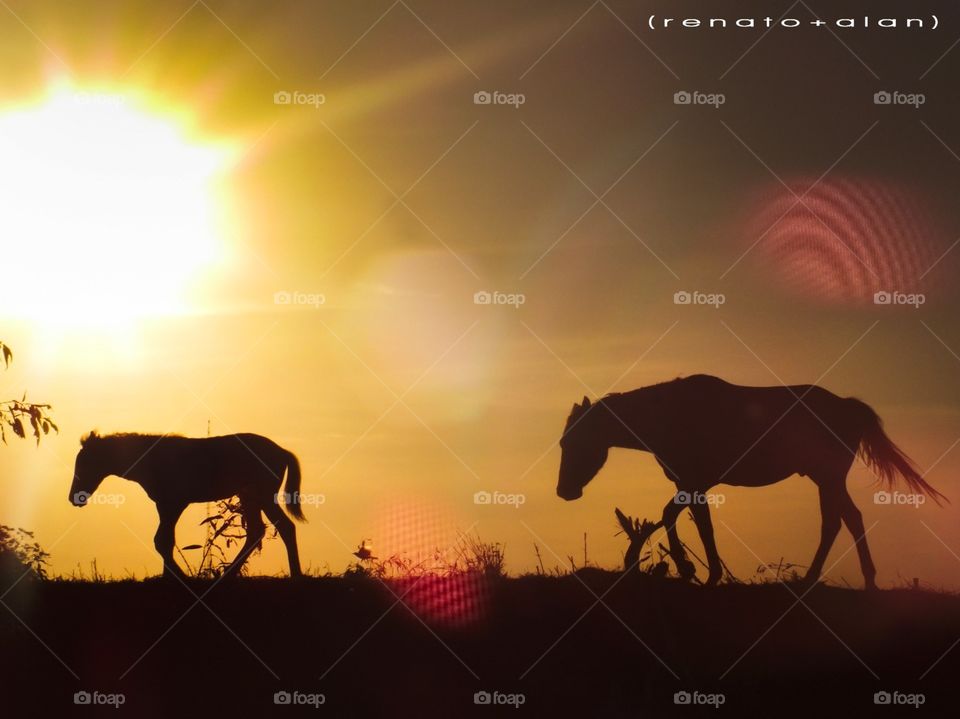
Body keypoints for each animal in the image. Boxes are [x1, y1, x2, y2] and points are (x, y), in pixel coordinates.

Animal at [70, 434, 306, 580]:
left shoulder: (174, 503)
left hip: (263, 496)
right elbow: (166, 540)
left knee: (284, 527)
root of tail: (282, 451)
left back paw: (296, 574)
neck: (152, 460)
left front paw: (180, 577)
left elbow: (162, 541)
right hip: (249, 497)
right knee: (257, 531)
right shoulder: (164, 506)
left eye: (84, 463)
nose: (75, 497)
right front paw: (167, 577)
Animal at [560, 376, 940, 592]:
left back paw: (811, 579)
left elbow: (683, 519)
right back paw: (867, 579)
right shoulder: (694, 484)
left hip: (827, 476)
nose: (564, 491)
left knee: (833, 521)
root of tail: (848, 406)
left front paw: (695, 570)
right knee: (851, 518)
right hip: (827, 478)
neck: (668, 415)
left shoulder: (693, 482)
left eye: (572, 442)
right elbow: (693, 522)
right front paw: (699, 571)